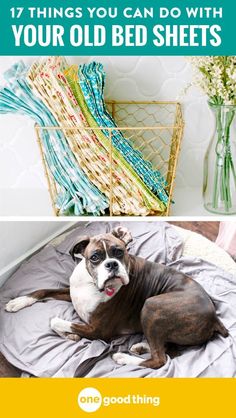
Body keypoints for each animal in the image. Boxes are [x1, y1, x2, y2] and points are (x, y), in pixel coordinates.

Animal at [5, 227, 227, 368]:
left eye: (119, 252)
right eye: (95, 257)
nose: (111, 264)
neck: (91, 283)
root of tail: (214, 317)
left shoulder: (97, 331)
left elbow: (55, 321)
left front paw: (69, 334)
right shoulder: (70, 293)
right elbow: (42, 291)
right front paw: (17, 302)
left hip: (152, 306)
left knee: (160, 359)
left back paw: (124, 358)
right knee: (164, 348)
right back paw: (140, 346)